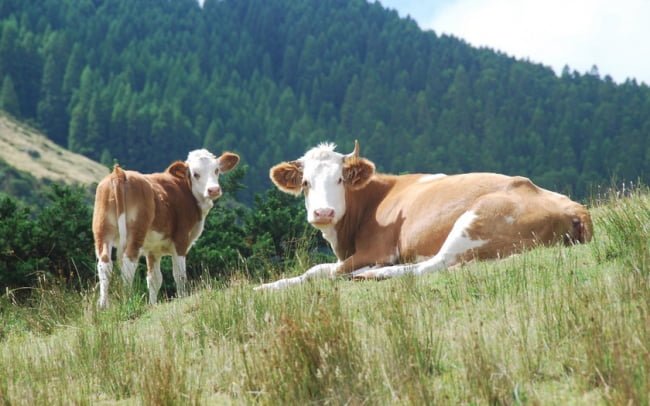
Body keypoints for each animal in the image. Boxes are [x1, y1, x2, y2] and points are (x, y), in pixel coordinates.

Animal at [93, 149, 240, 307]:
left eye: (216, 170)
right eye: (195, 173)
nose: (213, 190)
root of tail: (119, 174)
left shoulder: (153, 249)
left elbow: (154, 279)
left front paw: (152, 305)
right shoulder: (181, 239)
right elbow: (179, 274)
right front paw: (182, 297)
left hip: (102, 229)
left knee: (105, 264)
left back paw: (103, 305)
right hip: (136, 232)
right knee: (128, 262)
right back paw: (127, 300)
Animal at [255, 140, 592, 290]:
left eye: (340, 179)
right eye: (306, 183)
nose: (323, 212)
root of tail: (574, 208)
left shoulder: (378, 250)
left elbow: (321, 272)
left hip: (475, 219)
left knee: (434, 265)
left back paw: (372, 274)